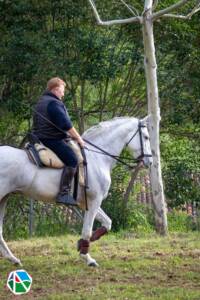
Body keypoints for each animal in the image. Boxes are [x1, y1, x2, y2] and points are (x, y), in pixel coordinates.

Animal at [0, 116, 152, 268]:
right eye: (146, 137)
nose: (149, 162)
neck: (97, 158)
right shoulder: (94, 201)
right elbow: (87, 230)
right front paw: (87, 257)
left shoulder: (87, 203)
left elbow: (107, 223)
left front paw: (84, 244)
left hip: (4, 198)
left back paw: (13, 259)